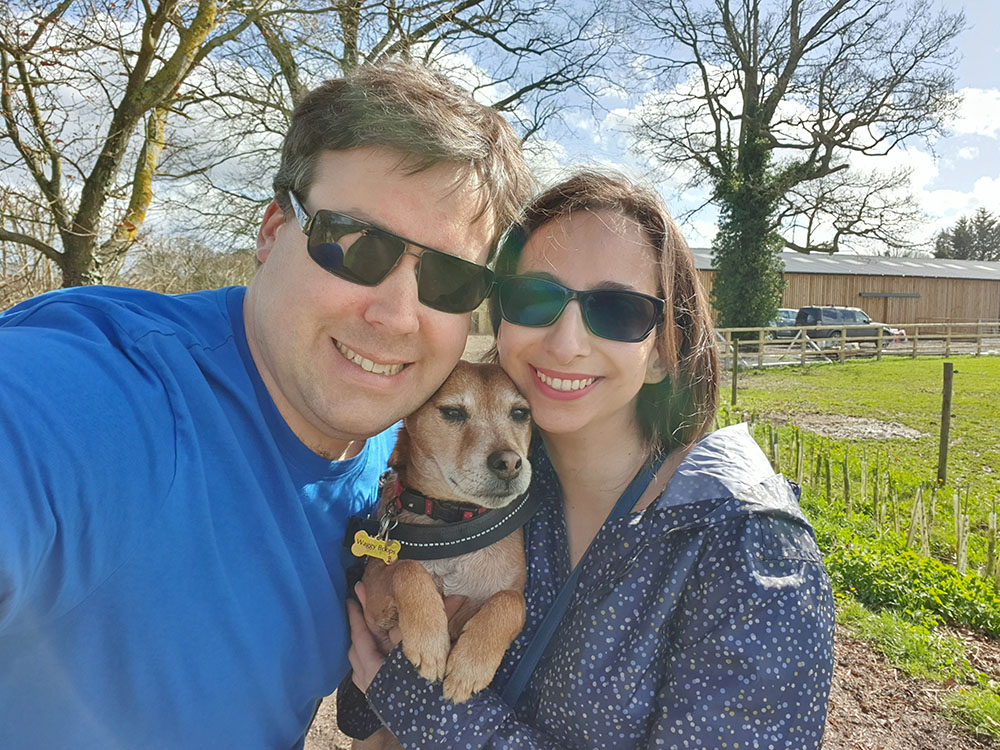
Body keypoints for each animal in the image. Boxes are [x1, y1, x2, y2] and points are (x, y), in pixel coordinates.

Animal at [352, 361, 533, 747]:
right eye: (452, 412)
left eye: (520, 413)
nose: (510, 462)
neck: (453, 523)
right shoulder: (373, 602)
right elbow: (406, 569)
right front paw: (430, 642)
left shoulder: (507, 593)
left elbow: (510, 602)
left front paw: (470, 666)